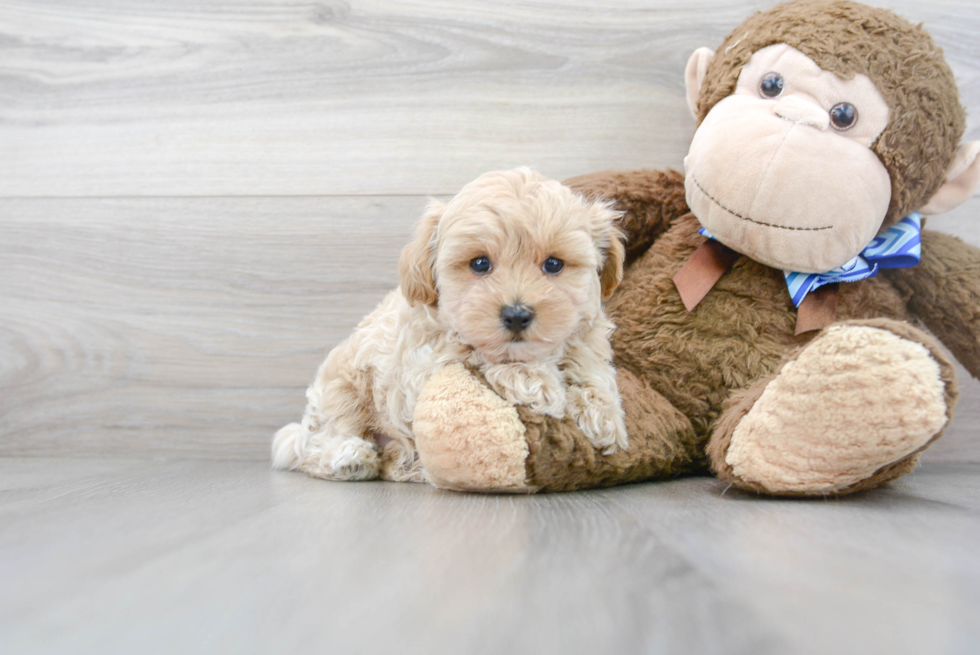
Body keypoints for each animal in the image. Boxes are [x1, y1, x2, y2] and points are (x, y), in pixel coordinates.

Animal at [270, 167, 628, 484]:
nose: (516, 315)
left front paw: (605, 415)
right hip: (343, 390)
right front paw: (537, 381)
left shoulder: (586, 335)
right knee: (316, 446)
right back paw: (350, 457)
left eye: (553, 264)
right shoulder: (423, 363)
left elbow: (591, 366)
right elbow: (478, 353)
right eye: (480, 264)